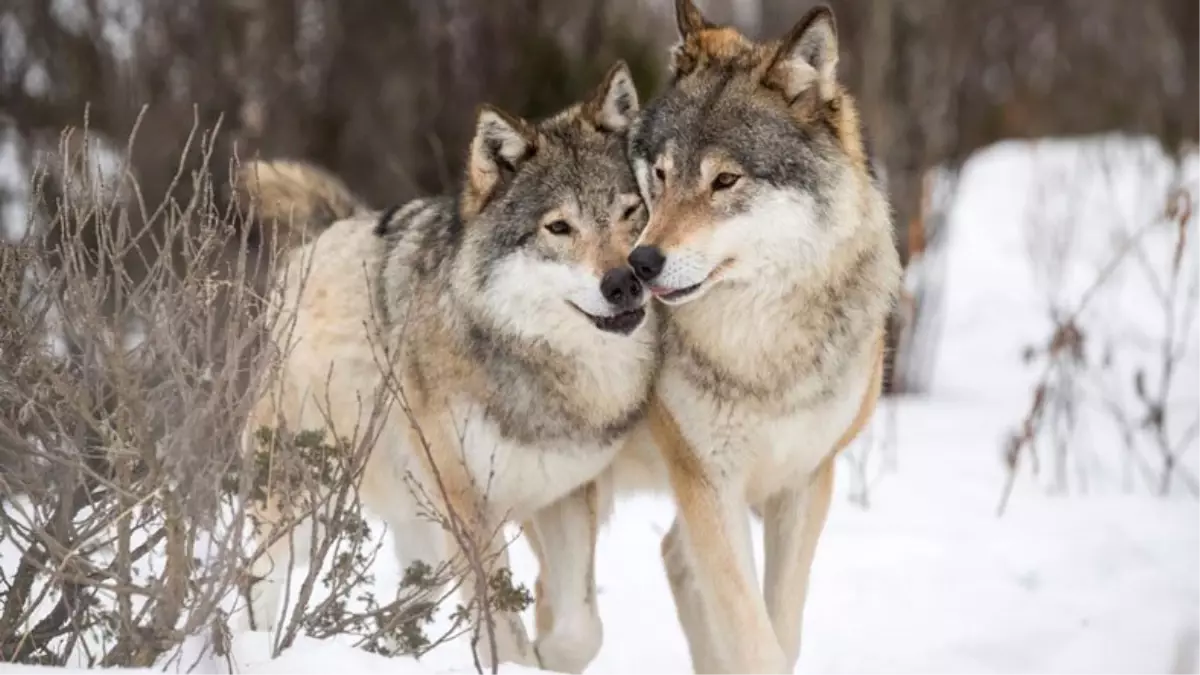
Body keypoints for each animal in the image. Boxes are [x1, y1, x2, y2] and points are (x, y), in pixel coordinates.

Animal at [232, 61, 657, 667]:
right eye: (559, 228)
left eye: (629, 211)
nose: (625, 281)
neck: (541, 367)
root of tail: (321, 237)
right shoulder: (467, 507)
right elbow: (501, 626)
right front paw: (522, 661)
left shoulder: (566, 494)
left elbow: (581, 629)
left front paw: (549, 655)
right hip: (304, 506)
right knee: (256, 580)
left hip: (421, 537)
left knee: (403, 606)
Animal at [532, 5, 902, 672]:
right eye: (659, 175)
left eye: (725, 180)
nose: (640, 264)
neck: (761, 352)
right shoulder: (708, 483)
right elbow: (753, 639)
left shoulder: (805, 484)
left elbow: (780, 632)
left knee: (669, 562)